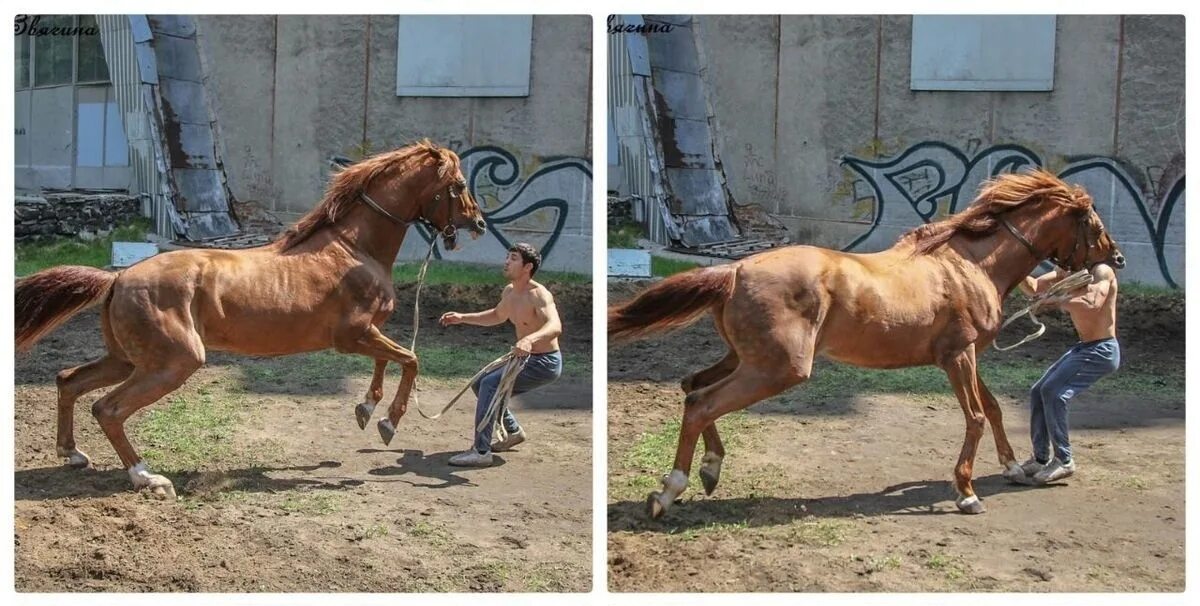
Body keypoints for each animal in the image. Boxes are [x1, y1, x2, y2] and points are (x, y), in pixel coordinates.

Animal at [12, 139, 482, 499]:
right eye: (458, 185)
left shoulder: (367, 333)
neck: (354, 249)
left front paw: (367, 409)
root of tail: (118, 278)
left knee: (68, 380)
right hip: (173, 362)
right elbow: (410, 359)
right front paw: (387, 422)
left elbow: (390, 359)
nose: (477, 223)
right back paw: (148, 478)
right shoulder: (353, 335)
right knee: (107, 408)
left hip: (128, 359)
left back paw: (72, 454)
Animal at [609, 169, 1123, 516]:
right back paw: (668, 492)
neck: (970, 264)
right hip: (778, 368)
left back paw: (710, 471)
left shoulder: (970, 355)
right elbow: (975, 417)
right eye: (1094, 224)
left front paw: (1014, 469)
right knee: (702, 402)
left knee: (693, 386)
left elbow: (993, 410)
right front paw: (967, 493)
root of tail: (734, 271)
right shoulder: (958, 356)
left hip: (746, 358)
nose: (1116, 258)